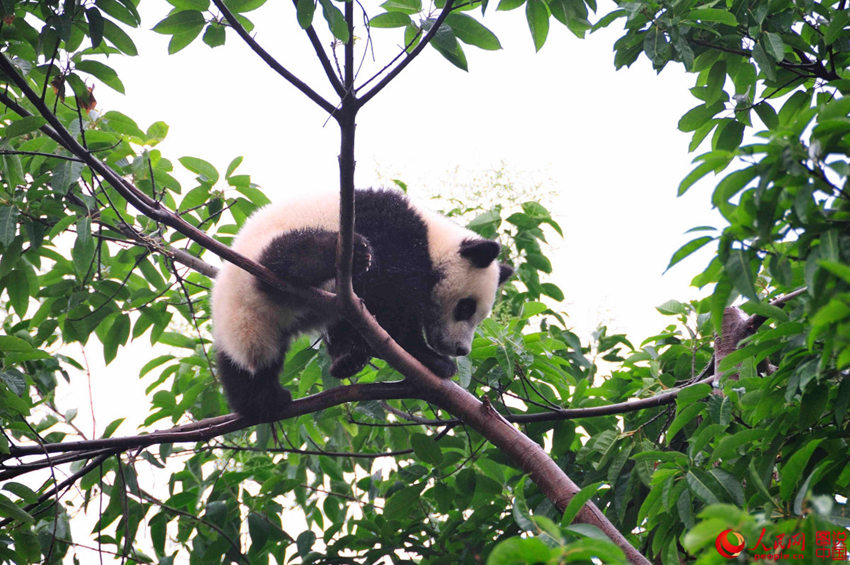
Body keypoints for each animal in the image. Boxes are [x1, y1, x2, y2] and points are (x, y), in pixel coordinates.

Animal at [212, 187, 512, 420]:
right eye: (466, 307)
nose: (461, 349)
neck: (433, 242)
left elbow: (354, 319)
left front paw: (348, 359)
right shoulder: (395, 235)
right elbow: (392, 306)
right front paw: (433, 360)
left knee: (241, 366)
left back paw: (261, 400)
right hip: (269, 253)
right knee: (291, 255)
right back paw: (346, 252)